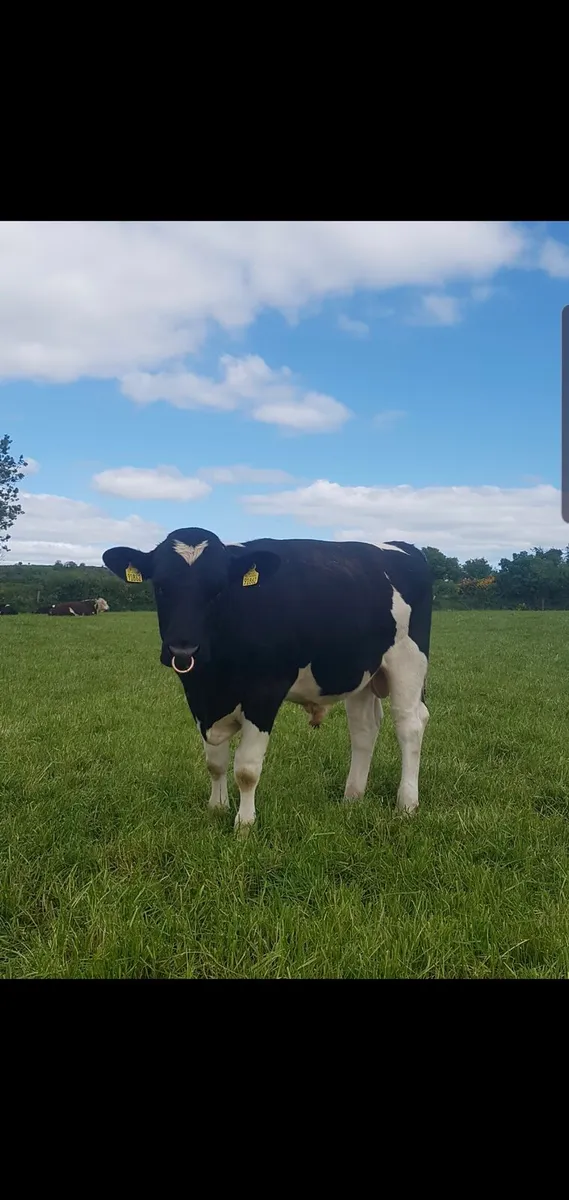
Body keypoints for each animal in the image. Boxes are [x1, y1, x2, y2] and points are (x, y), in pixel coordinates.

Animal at [103, 528, 432, 833]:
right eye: (161, 586)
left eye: (218, 589)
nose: (183, 650)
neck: (213, 681)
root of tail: (403, 546)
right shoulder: (201, 702)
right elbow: (215, 762)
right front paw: (217, 808)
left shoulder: (264, 695)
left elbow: (246, 769)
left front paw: (245, 825)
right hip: (362, 673)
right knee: (364, 729)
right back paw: (352, 797)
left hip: (408, 662)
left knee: (409, 725)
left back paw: (406, 805)